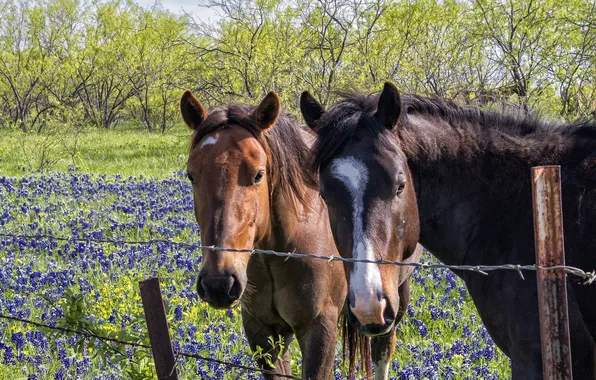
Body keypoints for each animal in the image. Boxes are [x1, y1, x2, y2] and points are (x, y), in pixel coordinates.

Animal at [179, 90, 416, 378]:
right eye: (191, 176)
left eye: (258, 175)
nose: (218, 284)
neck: (277, 252)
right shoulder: (261, 328)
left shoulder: (319, 327)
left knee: (383, 349)